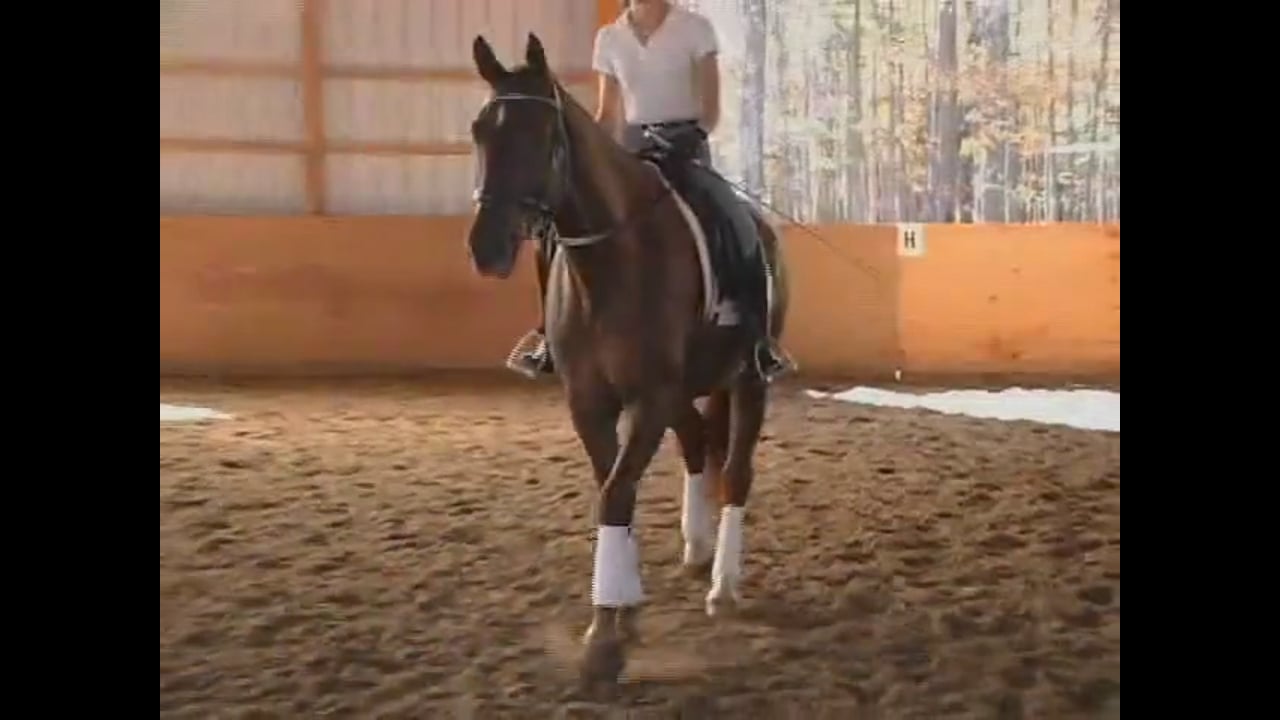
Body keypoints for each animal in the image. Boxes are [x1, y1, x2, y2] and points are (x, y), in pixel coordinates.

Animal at [465, 32, 790, 686]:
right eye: (480, 130)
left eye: (542, 134)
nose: (486, 248)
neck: (613, 263)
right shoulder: (590, 401)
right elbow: (613, 485)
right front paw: (622, 613)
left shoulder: (648, 398)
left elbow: (616, 492)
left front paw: (605, 640)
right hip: (687, 390)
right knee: (698, 444)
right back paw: (696, 549)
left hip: (747, 381)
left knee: (735, 472)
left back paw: (723, 585)